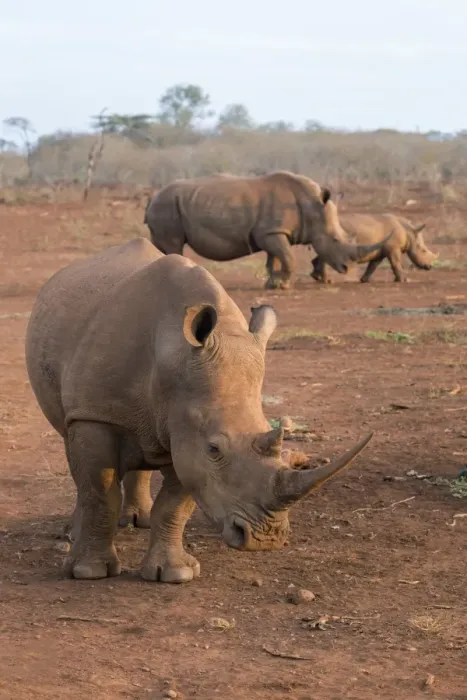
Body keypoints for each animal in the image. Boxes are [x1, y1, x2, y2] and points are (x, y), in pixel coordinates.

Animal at [25, 238, 373, 582]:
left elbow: (176, 504)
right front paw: (88, 572)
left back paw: (140, 521)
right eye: (214, 449)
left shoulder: (185, 429)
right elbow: (100, 493)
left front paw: (174, 573)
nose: (265, 539)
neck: (173, 357)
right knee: (74, 450)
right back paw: (73, 533)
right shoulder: (96, 414)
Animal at [144, 171, 390, 290]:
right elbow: (288, 258)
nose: (347, 268)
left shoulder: (272, 232)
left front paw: (273, 284)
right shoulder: (272, 232)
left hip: (167, 205)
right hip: (167, 206)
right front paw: (283, 286)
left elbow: (275, 260)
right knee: (174, 245)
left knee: (158, 245)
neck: (313, 207)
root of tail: (153, 198)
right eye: (336, 239)